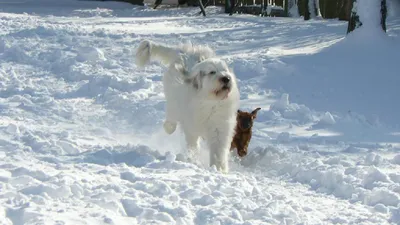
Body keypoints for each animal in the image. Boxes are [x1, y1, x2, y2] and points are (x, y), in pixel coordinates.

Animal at [136, 39, 239, 172]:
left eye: (225, 70)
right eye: (212, 72)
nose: (226, 78)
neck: (209, 102)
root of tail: (185, 50)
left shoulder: (219, 129)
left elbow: (218, 151)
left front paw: (219, 168)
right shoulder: (191, 127)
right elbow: (192, 146)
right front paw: (193, 160)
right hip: (172, 97)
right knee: (171, 114)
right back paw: (169, 127)